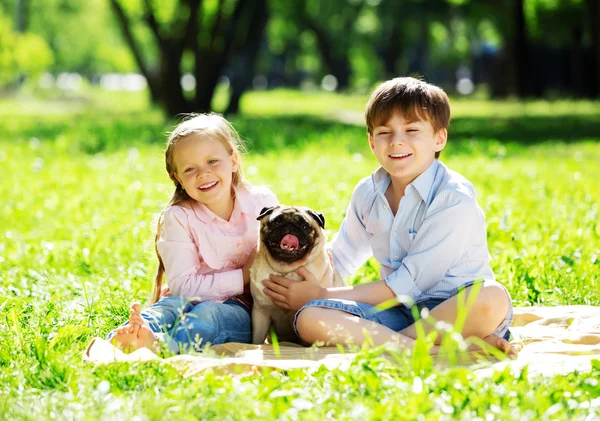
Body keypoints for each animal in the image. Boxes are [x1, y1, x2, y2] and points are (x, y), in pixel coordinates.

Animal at [248, 204, 342, 344]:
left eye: (305, 225)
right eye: (276, 221)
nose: (290, 226)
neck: (287, 270)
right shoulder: (261, 312)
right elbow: (257, 340)